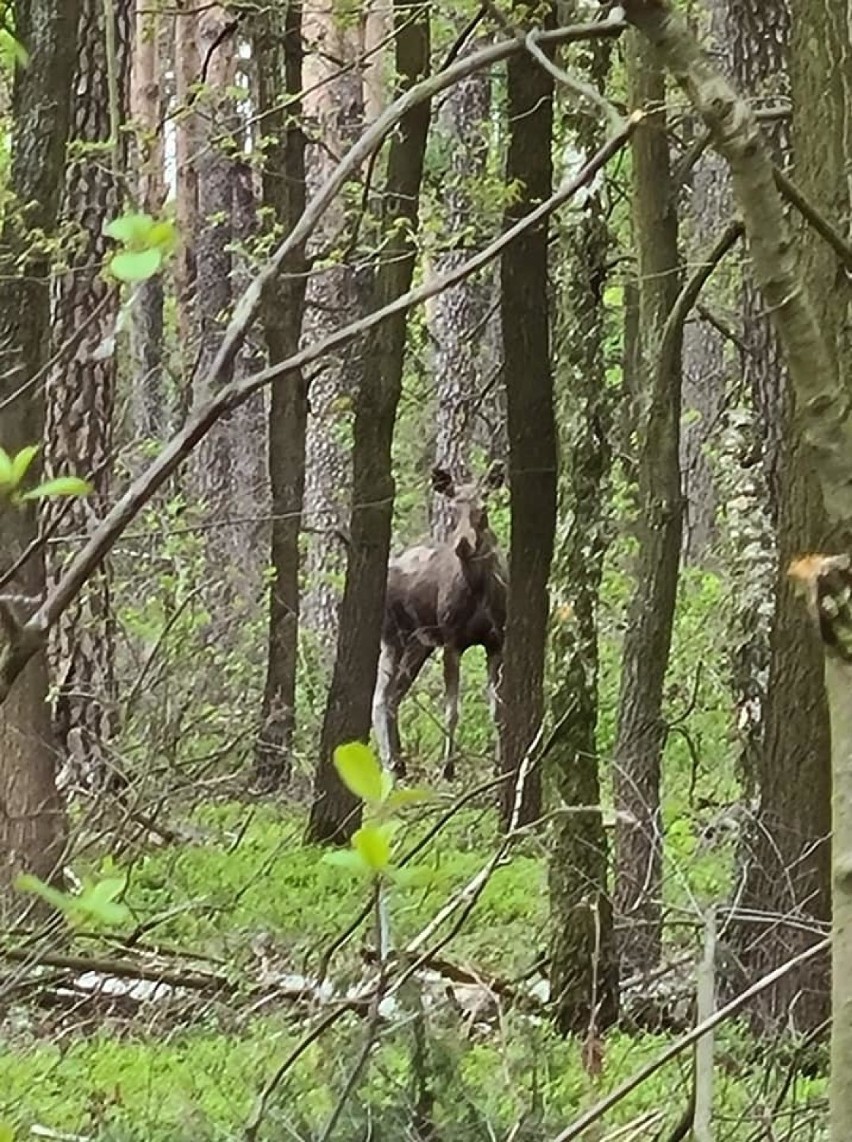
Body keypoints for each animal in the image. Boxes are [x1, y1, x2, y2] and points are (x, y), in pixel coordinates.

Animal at [370, 459, 504, 781]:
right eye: (452, 509)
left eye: (484, 508)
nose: (463, 544)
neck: (479, 591)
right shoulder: (452, 641)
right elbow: (451, 710)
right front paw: (448, 768)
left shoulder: (497, 641)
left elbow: (497, 710)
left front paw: (499, 765)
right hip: (392, 636)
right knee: (380, 698)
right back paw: (390, 765)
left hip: (420, 644)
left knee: (394, 697)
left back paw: (400, 763)